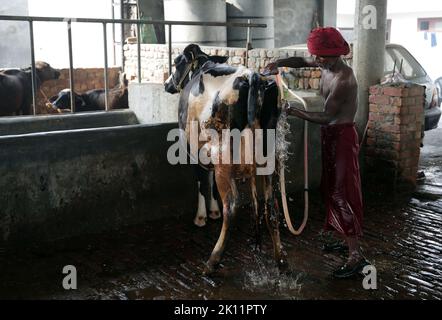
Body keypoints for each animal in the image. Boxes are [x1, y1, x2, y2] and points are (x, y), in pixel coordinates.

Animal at [164, 43, 284, 276]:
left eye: (176, 62)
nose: (166, 84)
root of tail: (252, 75)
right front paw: (213, 211)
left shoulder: (195, 150)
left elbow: (202, 182)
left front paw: (202, 216)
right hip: (268, 161)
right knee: (271, 206)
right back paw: (281, 260)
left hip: (224, 159)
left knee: (232, 205)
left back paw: (212, 261)